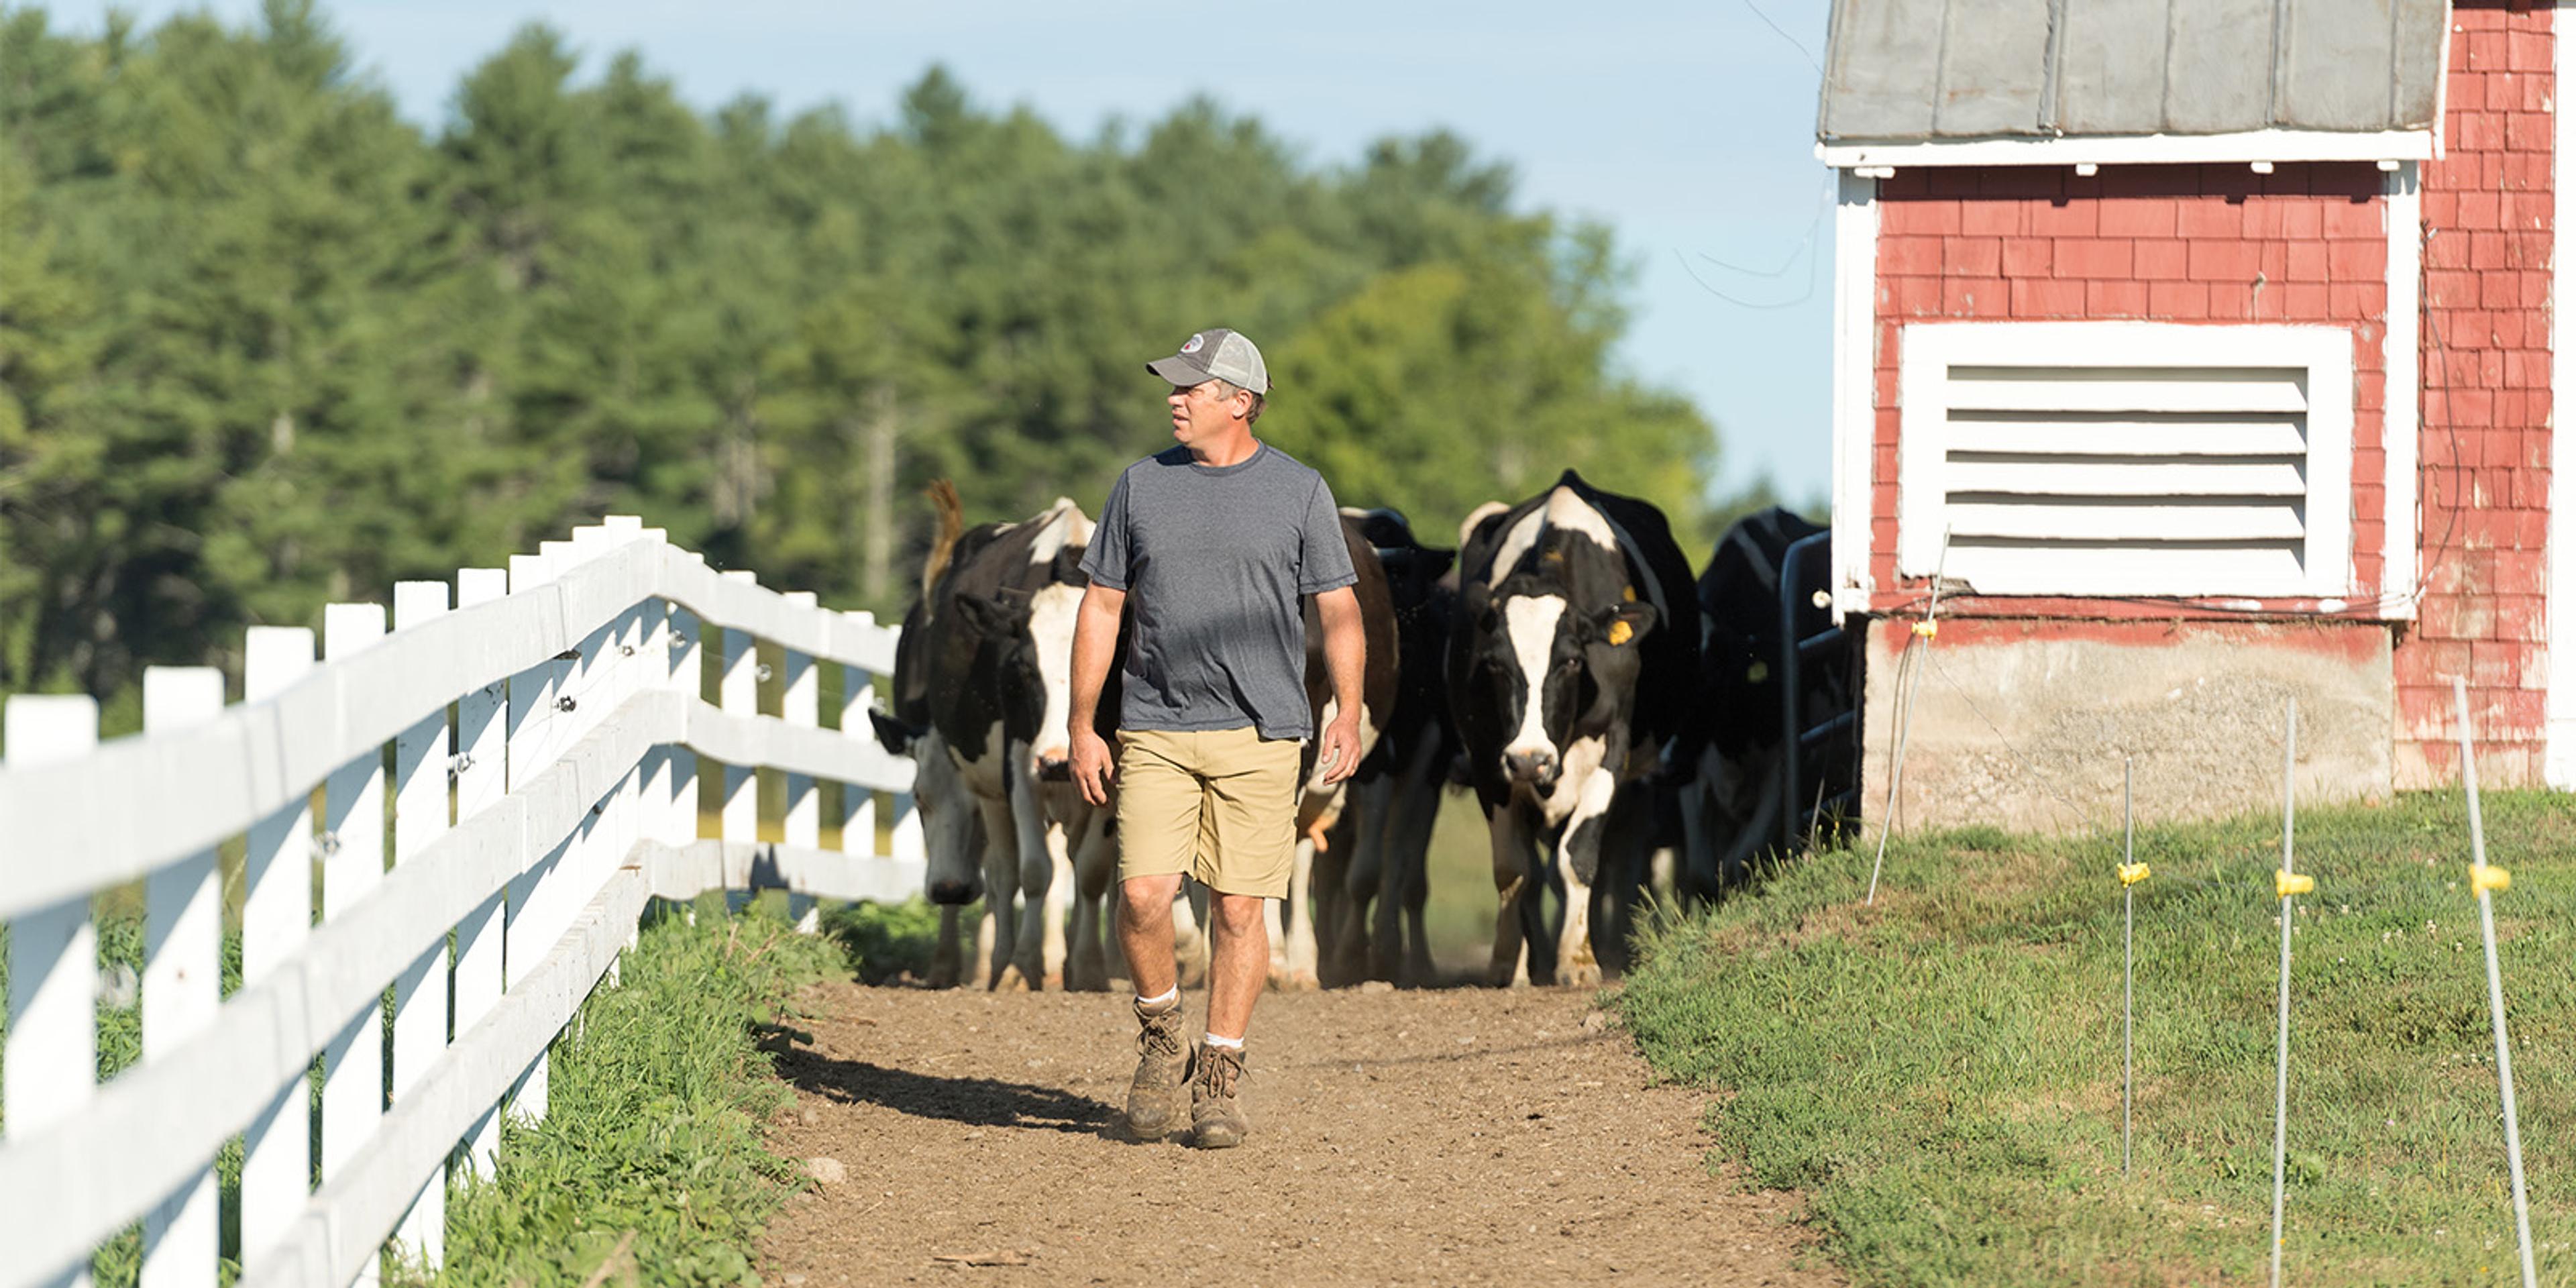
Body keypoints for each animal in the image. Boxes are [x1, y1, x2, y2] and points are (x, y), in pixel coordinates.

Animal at [1463, 474, 1700, 983]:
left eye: (1571, 661)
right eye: (1494, 664)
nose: (1529, 760)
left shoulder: (1613, 747)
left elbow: (1580, 856)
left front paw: (1579, 960)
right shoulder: (1486, 756)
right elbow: (1513, 869)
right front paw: (1507, 962)